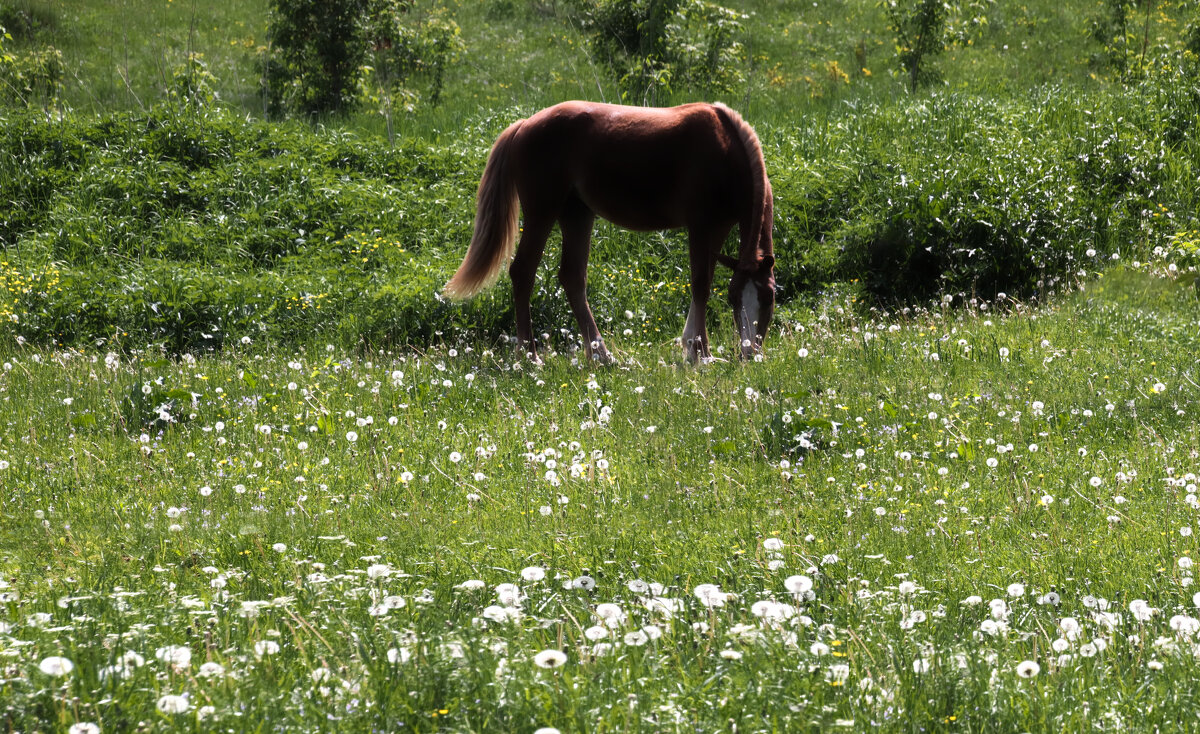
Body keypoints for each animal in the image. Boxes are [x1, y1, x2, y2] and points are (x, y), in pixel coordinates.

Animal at [444, 100, 777, 364]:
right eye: (737, 300)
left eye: (769, 297)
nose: (750, 353)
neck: (726, 149)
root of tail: (524, 125)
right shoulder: (701, 227)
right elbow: (701, 285)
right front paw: (700, 355)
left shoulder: (718, 229)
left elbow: (704, 283)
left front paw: (694, 348)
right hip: (542, 213)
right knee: (523, 272)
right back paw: (531, 356)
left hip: (577, 215)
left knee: (572, 278)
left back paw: (602, 355)